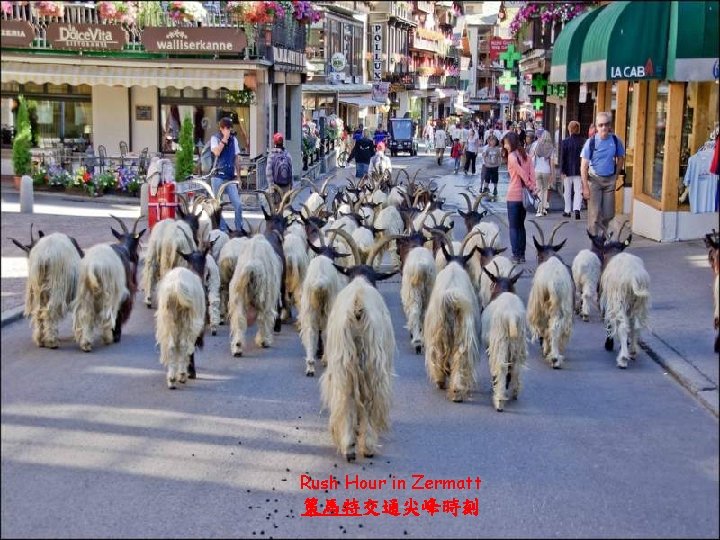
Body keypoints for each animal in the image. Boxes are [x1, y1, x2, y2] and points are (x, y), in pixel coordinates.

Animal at [524, 221, 572, 370]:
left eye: (538, 255)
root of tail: (553, 281)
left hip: (542, 304)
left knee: (548, 325)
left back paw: (551, 354)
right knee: (553, 326)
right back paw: (554, 356)